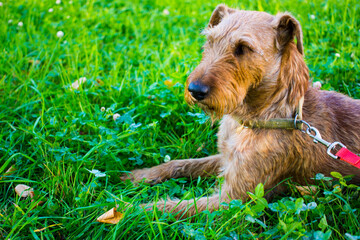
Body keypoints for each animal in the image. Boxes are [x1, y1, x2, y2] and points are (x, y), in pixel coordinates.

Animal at [121, 3, 360, 218]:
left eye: (243, 48)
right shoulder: (225, 159)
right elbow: (180, 164)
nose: (194, 90)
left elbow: (166, 207)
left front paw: (124, 210)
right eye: (209, 41)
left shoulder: (232, 199)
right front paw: (141, 175)